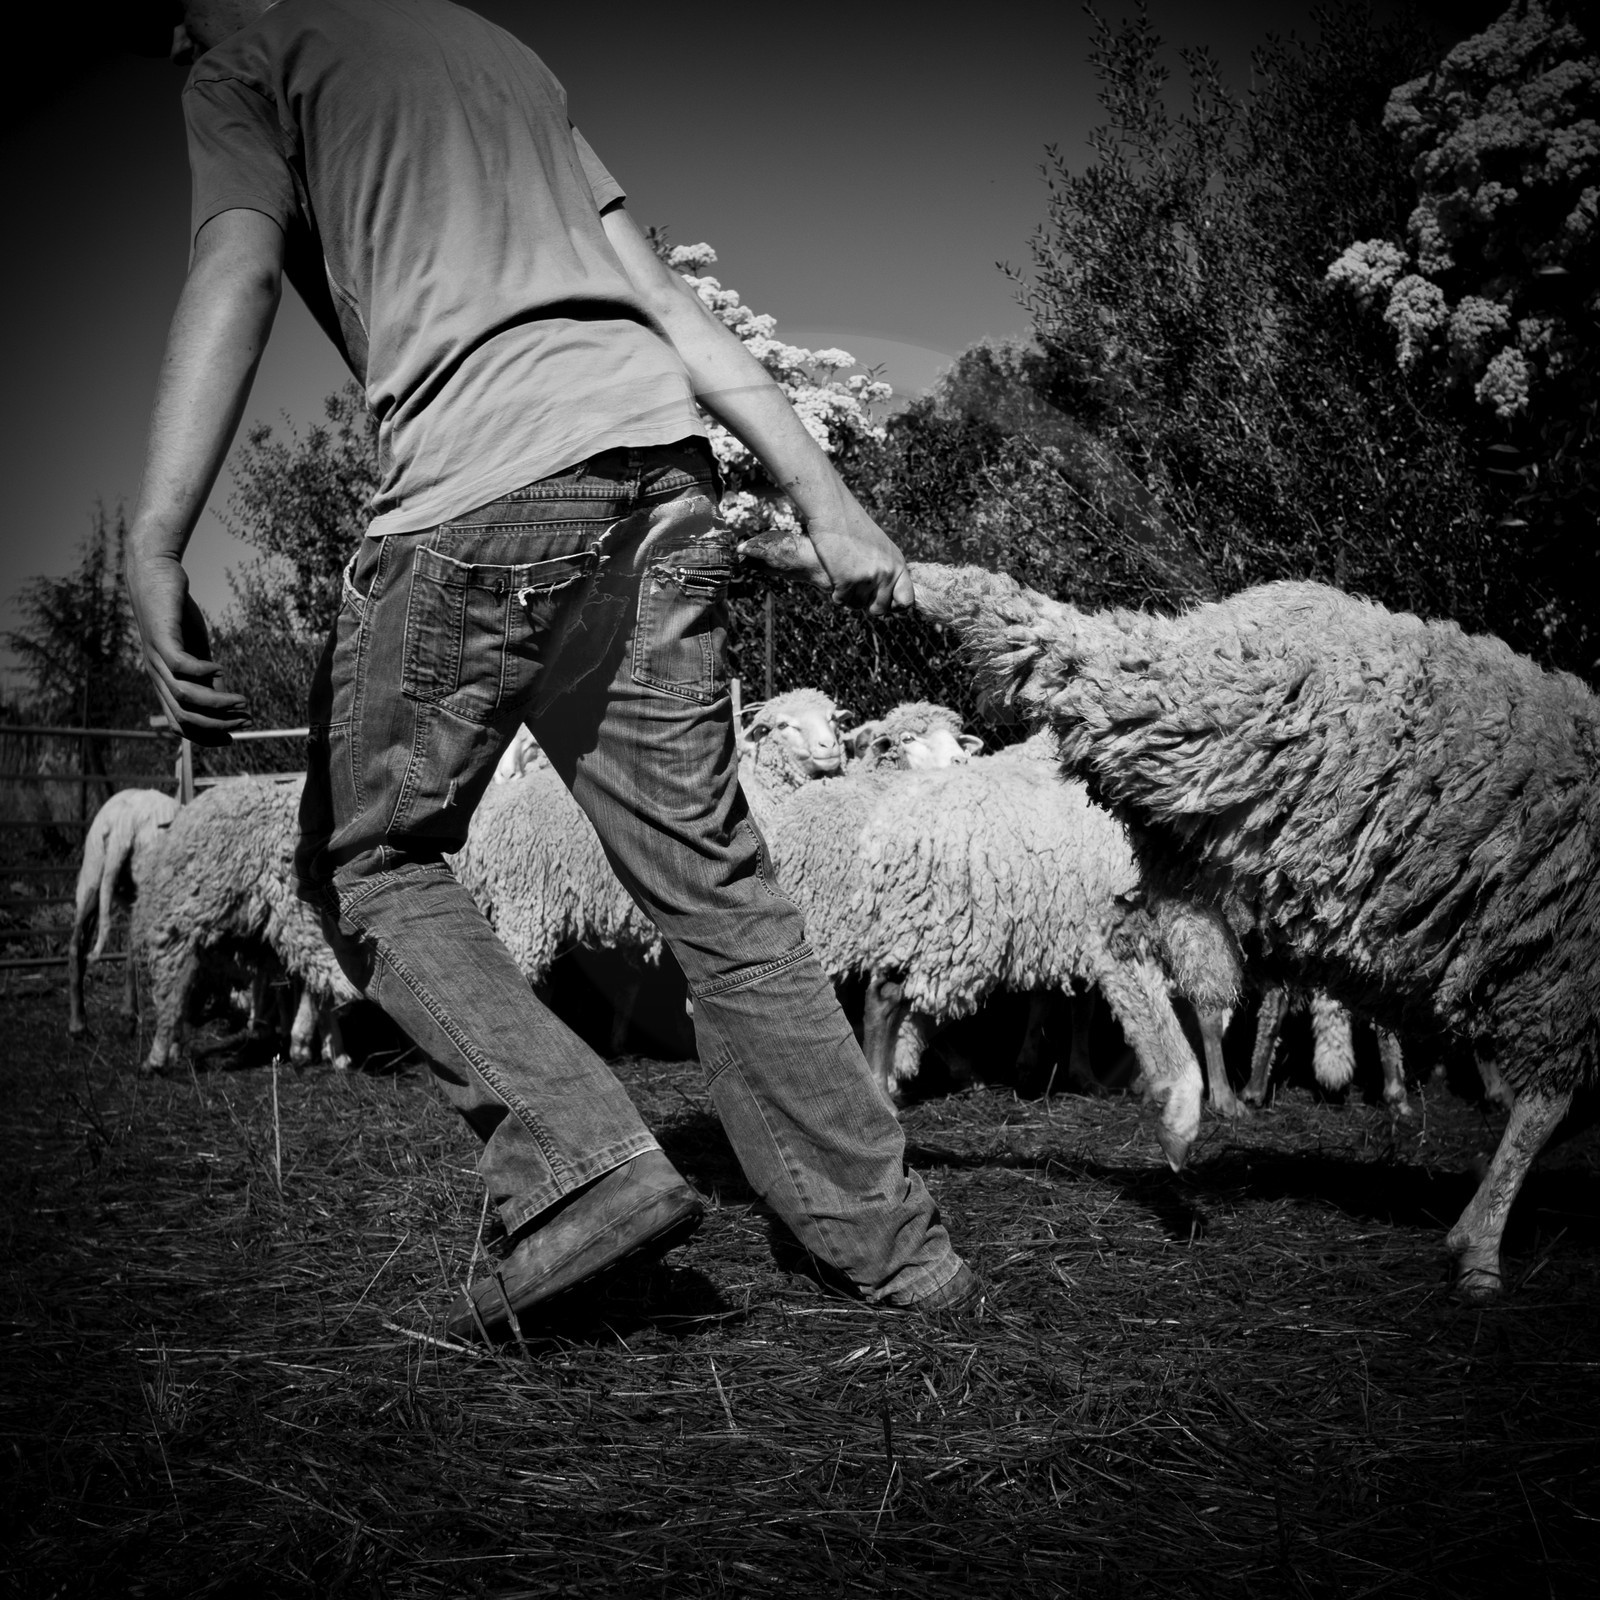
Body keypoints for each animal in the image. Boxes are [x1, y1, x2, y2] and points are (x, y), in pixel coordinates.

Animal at [133, 777, 355, 1075]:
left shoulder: (175, 931)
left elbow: (172, 997)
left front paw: (158, 1057)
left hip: (293, 907)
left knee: (320, 968)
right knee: (317, 973)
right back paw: (326, 1050)